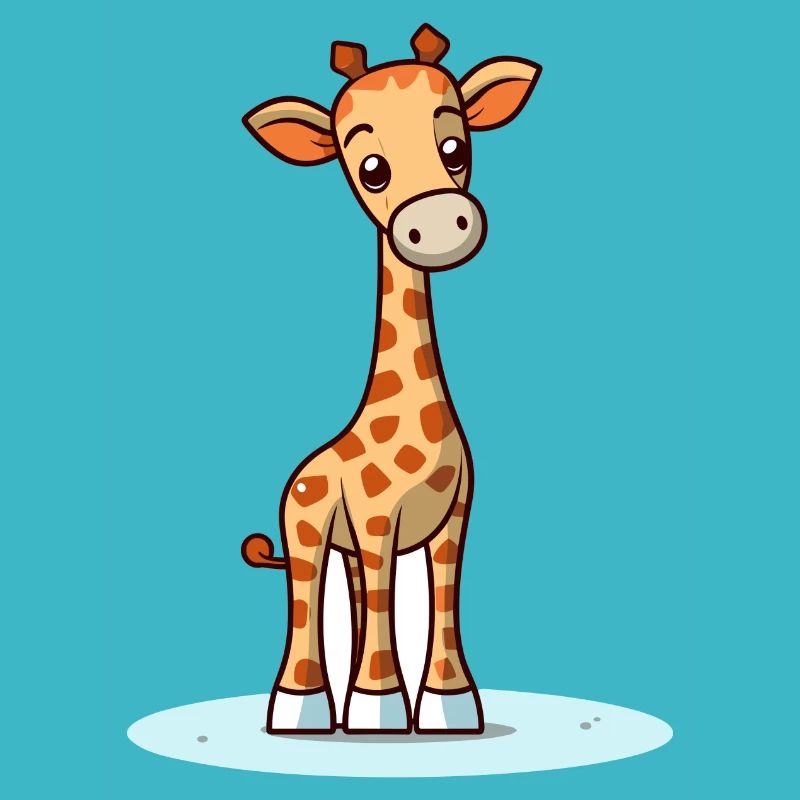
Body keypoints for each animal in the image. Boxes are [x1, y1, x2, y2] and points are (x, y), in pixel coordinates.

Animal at [240, 24, 541, 734]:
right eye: (370, 168)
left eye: (455, 146)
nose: (435, 223)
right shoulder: (377, 520)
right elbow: (384, 599)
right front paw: (379, 709)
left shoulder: (455, 517)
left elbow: (443, 598)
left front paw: (445, 707)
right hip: (306, 530)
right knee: (307, 596)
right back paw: (302, 710)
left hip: (344, 545)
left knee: (352, 595)